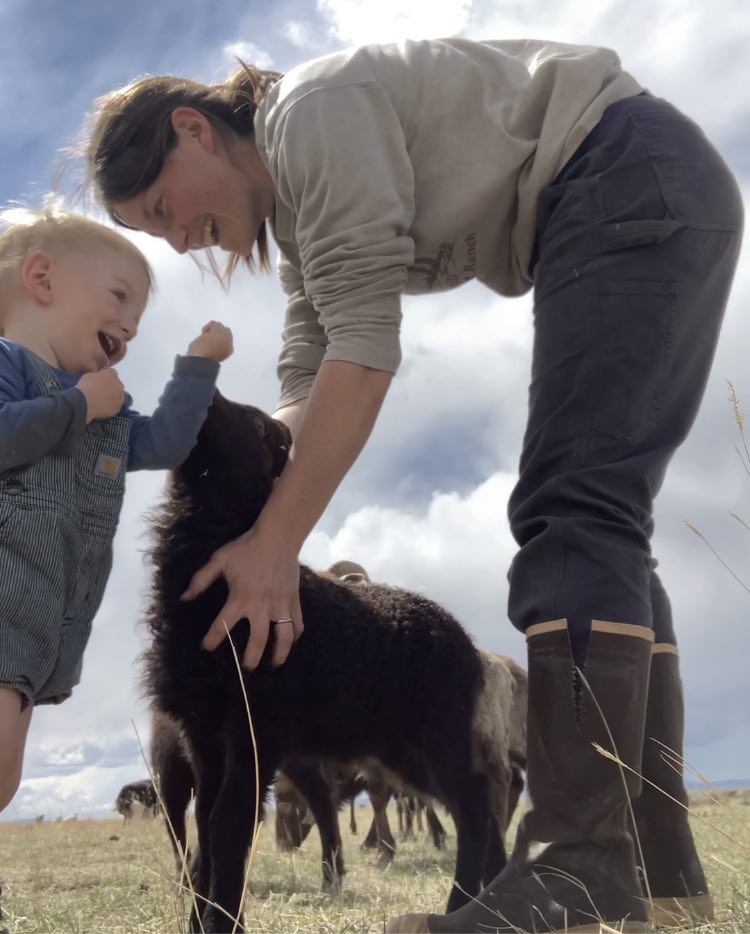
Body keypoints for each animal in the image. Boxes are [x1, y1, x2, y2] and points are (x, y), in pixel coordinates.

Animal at [144, 396, 524, 934]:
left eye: (256, 424)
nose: (205, 397)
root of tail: (470, 648)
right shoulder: (204, 734)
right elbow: (207, 825)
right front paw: (204, 918)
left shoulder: (255, 727)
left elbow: (230, 823)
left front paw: (223, 921)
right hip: (403, 746)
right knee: (476, 803)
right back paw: (488, 902)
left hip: (435, 732)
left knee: (473, 802)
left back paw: (462, 905)